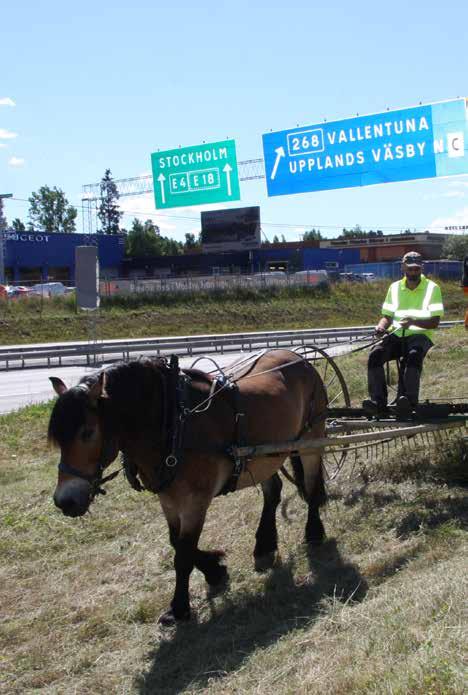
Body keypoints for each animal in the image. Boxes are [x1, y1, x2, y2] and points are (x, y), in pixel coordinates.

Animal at [49, 350, 330, 624]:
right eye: (58, 439)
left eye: (87, 432)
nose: (65, 501)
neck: (174, 425)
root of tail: (300, 358)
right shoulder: (169, 499)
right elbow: (177, 542)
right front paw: (215, 569)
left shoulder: (196, 501)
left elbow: (183, 553)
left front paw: (179, 607)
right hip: (263, 457)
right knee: (273, 493)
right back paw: (265, 545)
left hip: (311, 438)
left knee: (311, 486)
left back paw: (314, 532)